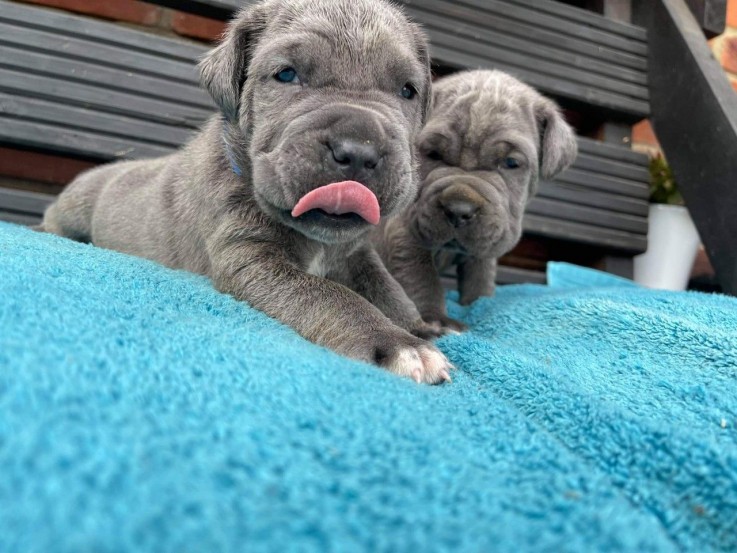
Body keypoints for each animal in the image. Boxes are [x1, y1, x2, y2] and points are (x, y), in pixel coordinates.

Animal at [41, 0, 454, 382]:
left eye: (408, 90)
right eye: (286, 74)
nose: (358, 151)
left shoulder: (356, 253)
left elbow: (388, 288)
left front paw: (420, 327)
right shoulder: (250, 258)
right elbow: (329, 294)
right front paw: (396, 344)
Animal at [376, 68, 576, 328]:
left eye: (511, 163)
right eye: (433, 154)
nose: (458, 210)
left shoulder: (486, 240)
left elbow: (479, 276)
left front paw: (479, 304)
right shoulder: (405, 234)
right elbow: (422, 278)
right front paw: (436, 320)